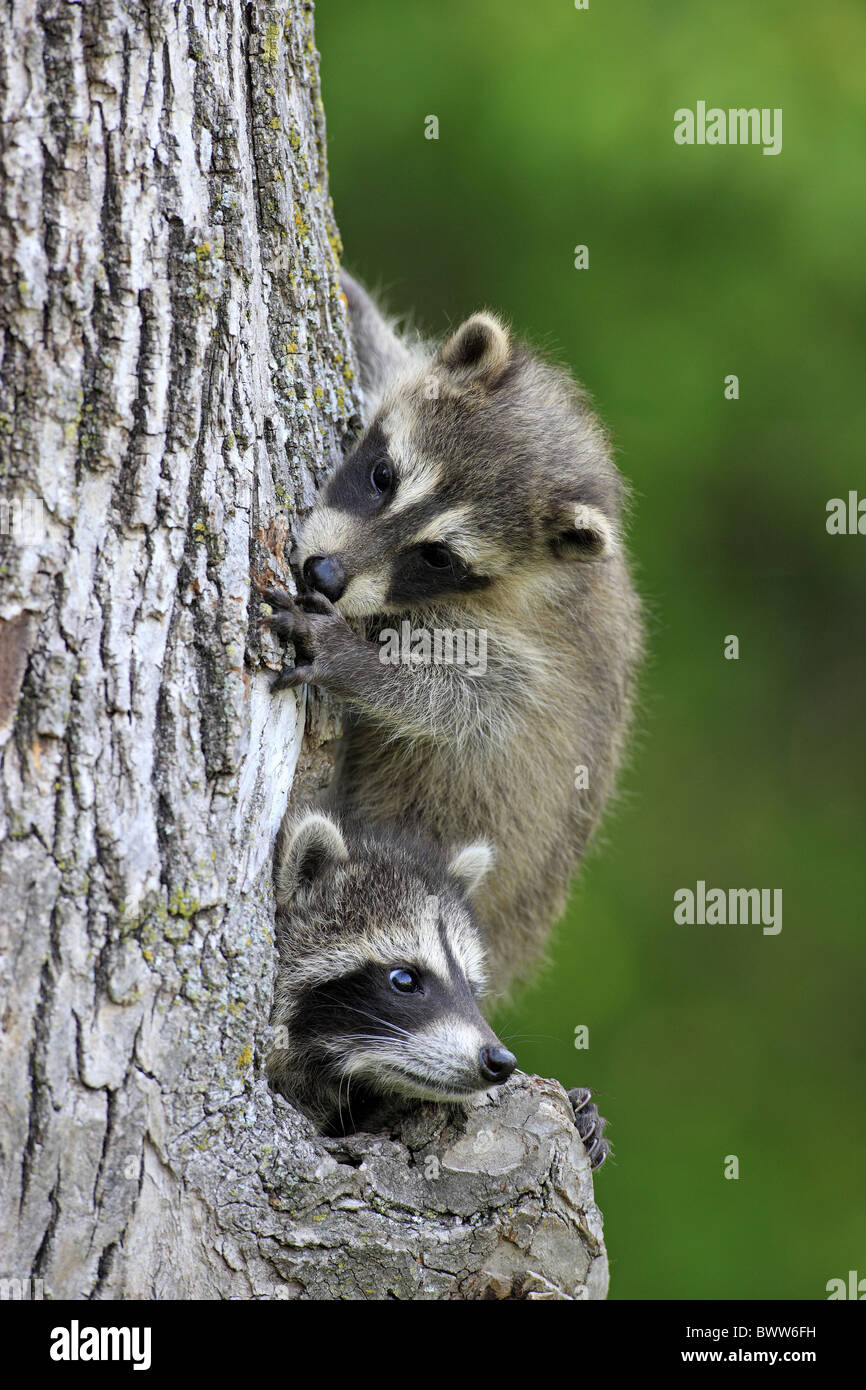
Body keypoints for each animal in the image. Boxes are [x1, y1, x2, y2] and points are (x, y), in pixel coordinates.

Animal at [260, 273, 642, 997]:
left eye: (438, 556)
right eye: (383, 476)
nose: (324, 574)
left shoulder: (525, 653)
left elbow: (469, 705)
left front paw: (353, 660)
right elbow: (387, 354)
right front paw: (355, 302)